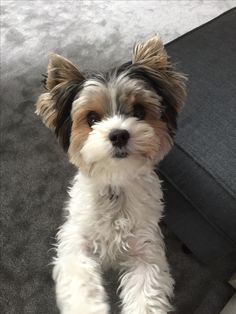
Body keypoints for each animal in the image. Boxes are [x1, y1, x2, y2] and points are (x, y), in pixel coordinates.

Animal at [35, 36, 186, 314]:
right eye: (92, 118)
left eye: (139, 111)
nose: (118, 135)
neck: (115, 182)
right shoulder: (75, 242)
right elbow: (80, 282)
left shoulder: (145, 250)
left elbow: (146, 293)